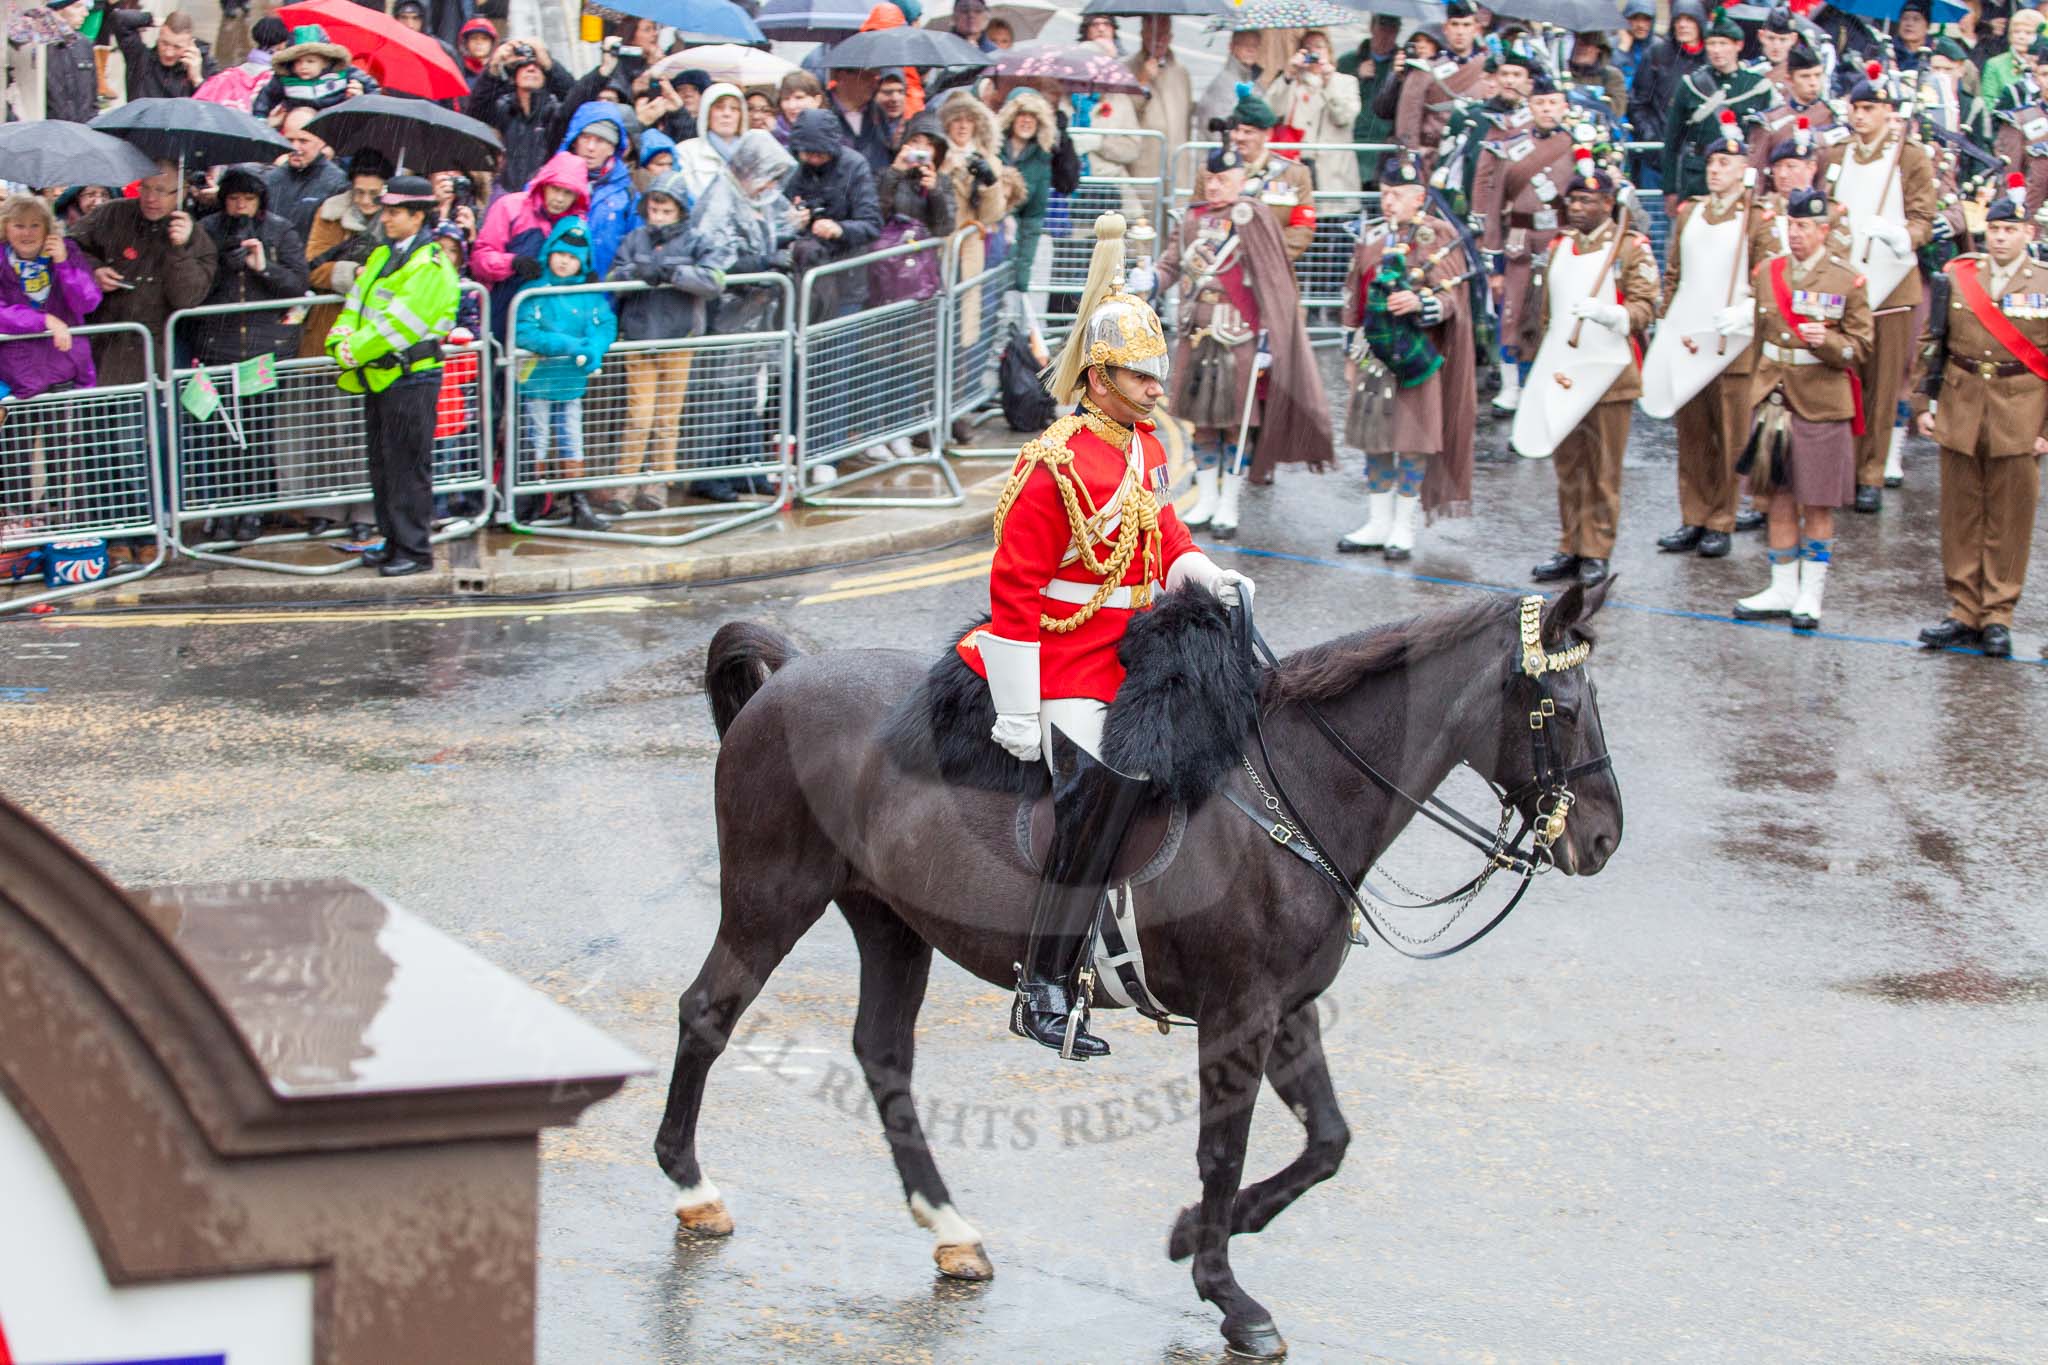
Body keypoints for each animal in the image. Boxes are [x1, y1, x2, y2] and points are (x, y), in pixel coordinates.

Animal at [651, 581, 1613, 1358]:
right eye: (1562, 705)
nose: (1603, 837)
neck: (1294, 793)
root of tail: (789, 673)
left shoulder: (1288, 1006)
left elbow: (1327, 1141)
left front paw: (1196, 1235)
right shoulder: (1238, 1012)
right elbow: (1222, 1149)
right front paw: (1228, 1295)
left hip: (889, 922)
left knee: (883, 1054)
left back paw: (949, 1225)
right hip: (772, 897)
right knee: (706, 1012)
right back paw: (692, 1184)